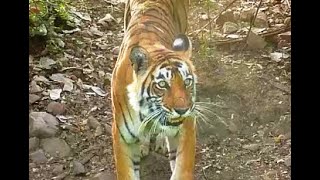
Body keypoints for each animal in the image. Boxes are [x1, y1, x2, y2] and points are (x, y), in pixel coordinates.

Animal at [111, 0, 198, 179]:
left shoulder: (187, 129)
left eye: (187, 82)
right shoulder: (121, 137)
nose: (182, 110)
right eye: (162, 85)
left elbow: (181, 169)